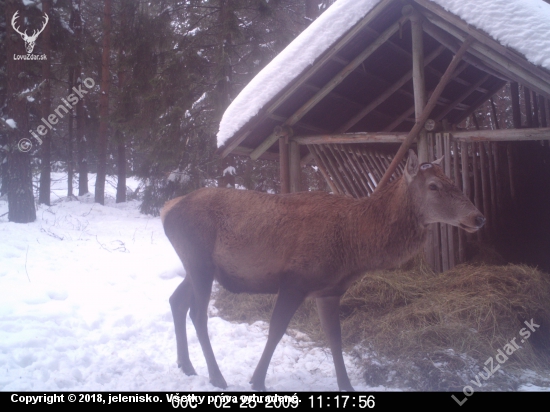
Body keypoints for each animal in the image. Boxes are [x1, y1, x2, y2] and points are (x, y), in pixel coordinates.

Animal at [162, 150, 486, 392]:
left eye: (452, 180)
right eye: (433, 186)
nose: (478, 217)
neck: (354, 249)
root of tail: (167, 210)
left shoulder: (329, 290)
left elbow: (335, 337)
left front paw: (347, 386)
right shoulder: (295, 281)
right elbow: (276, 330)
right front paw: (257, 381)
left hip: (197, 267)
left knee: (176, 300)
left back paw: (186, 366)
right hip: (199, 262)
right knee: (197, 313)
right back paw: (217, 377)